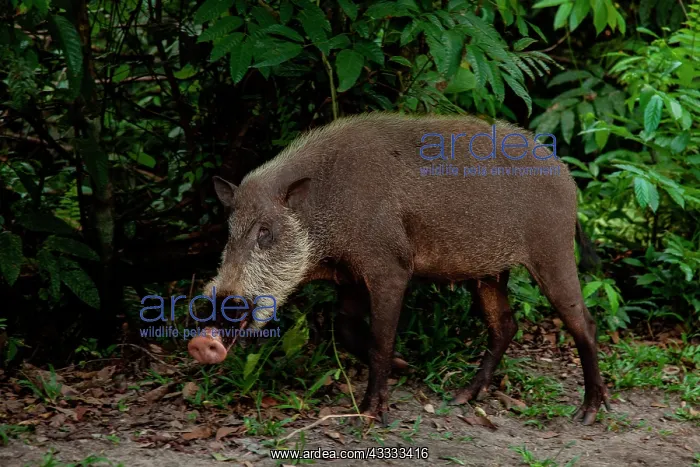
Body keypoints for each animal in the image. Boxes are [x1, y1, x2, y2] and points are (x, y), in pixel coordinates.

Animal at [188, 113, 610, 425]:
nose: (202, 340)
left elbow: (380, 340)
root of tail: (570, 181)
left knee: (584, 323)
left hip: (552, 252)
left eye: (265, 232)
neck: (324, 215)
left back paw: (587, 413)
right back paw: (462, 397)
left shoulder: (389, 268)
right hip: (489, 273)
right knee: (505, 324)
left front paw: (373, 414)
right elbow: (345, 329)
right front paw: (406, 367)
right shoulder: (350, 278)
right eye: (230, 231)